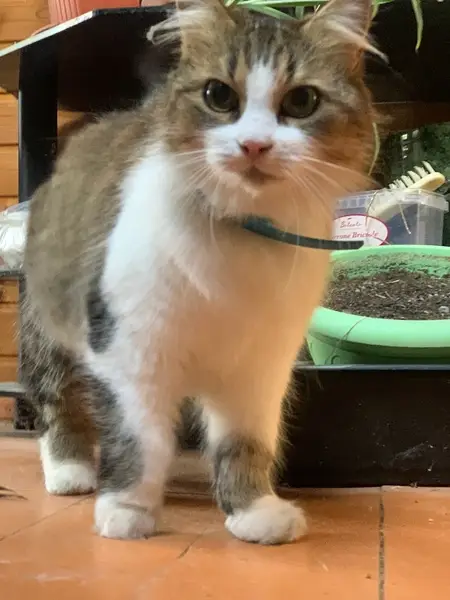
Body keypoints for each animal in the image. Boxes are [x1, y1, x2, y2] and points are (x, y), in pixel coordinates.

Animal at [21, 0, 376, 545]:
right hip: (48, 333)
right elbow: (140, 440)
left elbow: (245, 445)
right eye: (218, 96)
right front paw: (127, 510)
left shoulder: (259, 371)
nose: (254, 145)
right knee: (56, 405)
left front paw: (252, 511)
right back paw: (70, 472)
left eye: (302, 101)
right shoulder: (130, 353)